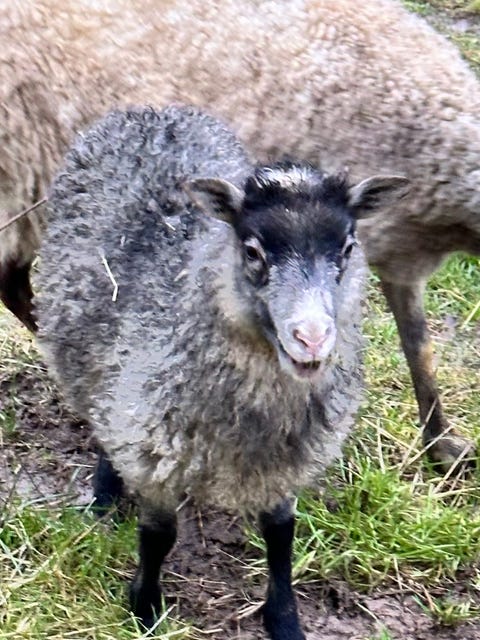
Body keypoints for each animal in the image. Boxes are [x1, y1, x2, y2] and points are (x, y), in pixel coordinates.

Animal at [34, 104, 408, 638]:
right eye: (252, 250)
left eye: (348, 247)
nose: (312, 338)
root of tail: (151, 110)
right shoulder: (154, 445)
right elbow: (158, 535)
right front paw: (145, 608)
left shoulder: (287, 460)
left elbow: (280, 534)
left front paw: (284, 618)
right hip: (96, 364)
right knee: (100, 409)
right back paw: (105, 495)